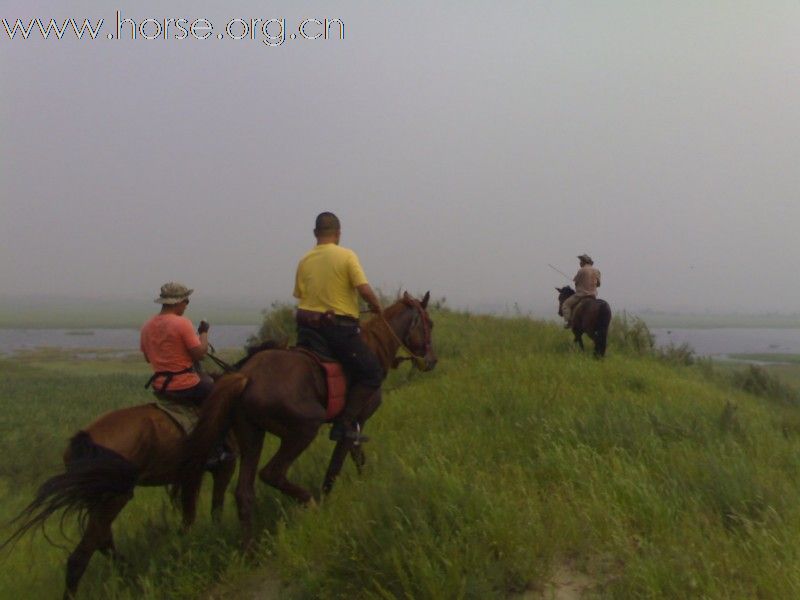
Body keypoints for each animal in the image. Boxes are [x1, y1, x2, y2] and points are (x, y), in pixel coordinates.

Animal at [180, 292, 438, 552]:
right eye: (430, 323)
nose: (431, 361)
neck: (375, 347)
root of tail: (247, 376)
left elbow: (356, 458)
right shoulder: (354, 423)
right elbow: (336, 467)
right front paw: (331, 498)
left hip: (251, 435)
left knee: (244, 493)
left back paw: (249, 549)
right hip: (303, 429)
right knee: (273, 473)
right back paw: (310, 502)